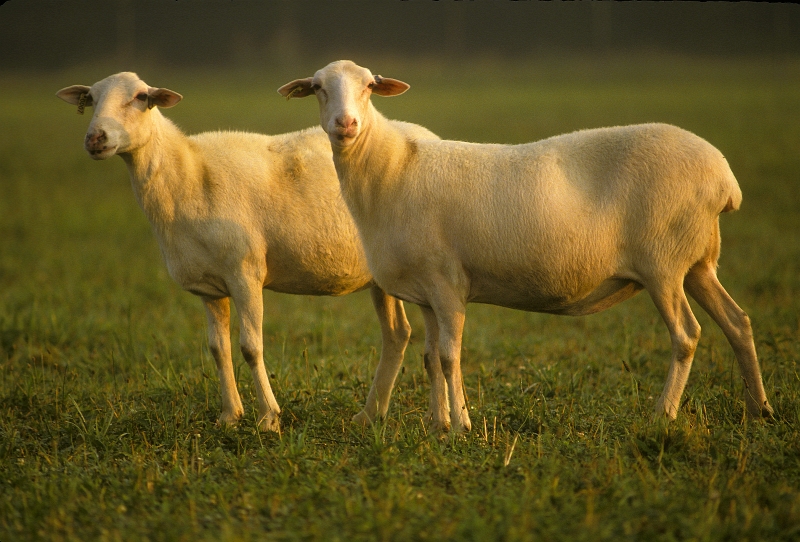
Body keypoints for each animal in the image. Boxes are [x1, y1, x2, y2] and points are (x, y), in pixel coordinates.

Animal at [56, 71, 441, 431]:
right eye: (91, 99)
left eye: (140, 97)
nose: (95, 138)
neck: (188, 173)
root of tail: (431, 135)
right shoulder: (209, 285)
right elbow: (218, 349)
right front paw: (230, 415)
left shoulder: (245, 271)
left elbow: (250, 347)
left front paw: (268, 418)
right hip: (380, 276)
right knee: (396, 334)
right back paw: (370, 415)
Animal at [278, 60, 774, 432]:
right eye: (319, 88)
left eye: (369, 87)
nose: (345, 124)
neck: (391, 170)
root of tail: (724, 178)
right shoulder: (425, 290)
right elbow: (430, 358)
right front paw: (439, 424)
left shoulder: (447, 283)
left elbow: (449, 356)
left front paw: (461, 426)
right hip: (698, 263)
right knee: (738, 323)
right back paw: (759, 410)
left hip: (665, 263)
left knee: (687, 335)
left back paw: (663, 414)